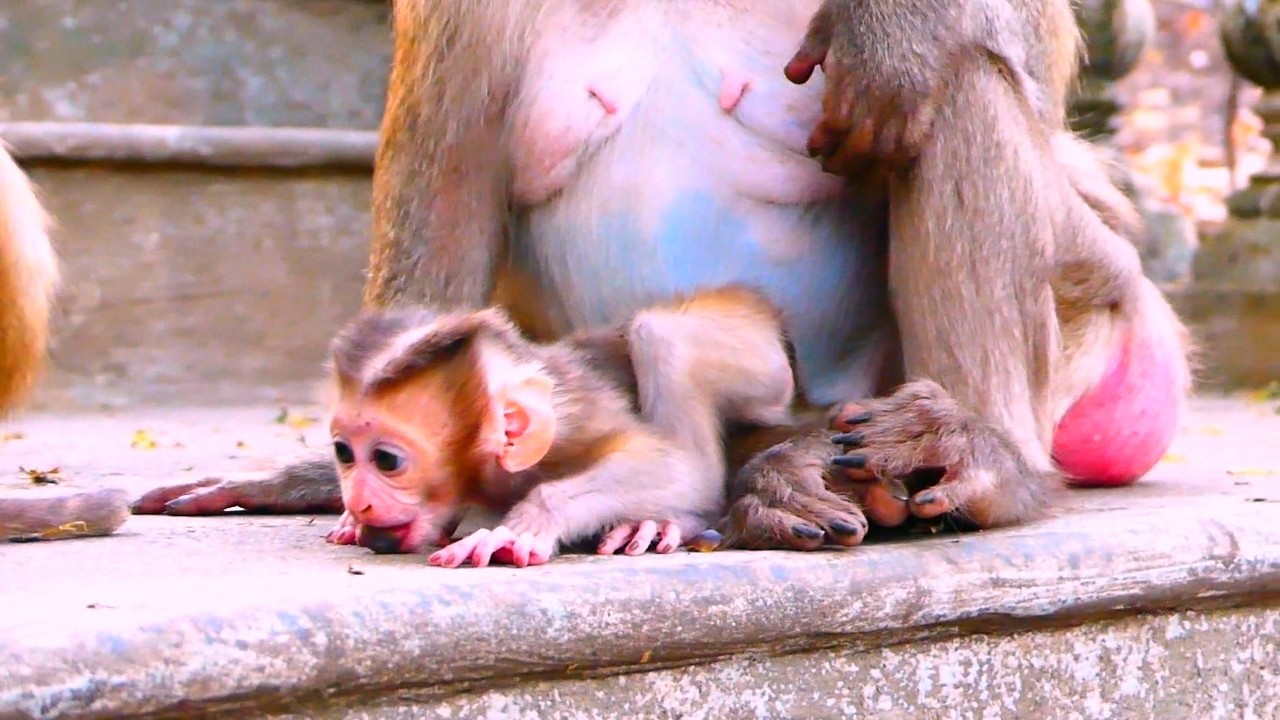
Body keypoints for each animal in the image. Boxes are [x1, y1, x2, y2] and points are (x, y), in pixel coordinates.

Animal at [308, 285, 802, 567]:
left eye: (386, 460)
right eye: (344, 454)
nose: (359, 500)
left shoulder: (572, 426)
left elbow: (683, 472)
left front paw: (520, 527)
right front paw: (349, 520)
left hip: (760, 357)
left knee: (660, 332)